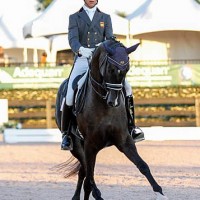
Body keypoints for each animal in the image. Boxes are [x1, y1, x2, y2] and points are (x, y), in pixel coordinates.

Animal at [55, 38, 169, 200]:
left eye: (127, 69)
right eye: (110, 69)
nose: (113, 101)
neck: (103, 103)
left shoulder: (124, 140)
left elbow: (143, 166)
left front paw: (160, 193)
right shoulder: (89, 145)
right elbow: (90, 178)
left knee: (84, 173)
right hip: (77, 146)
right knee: (86, 173)